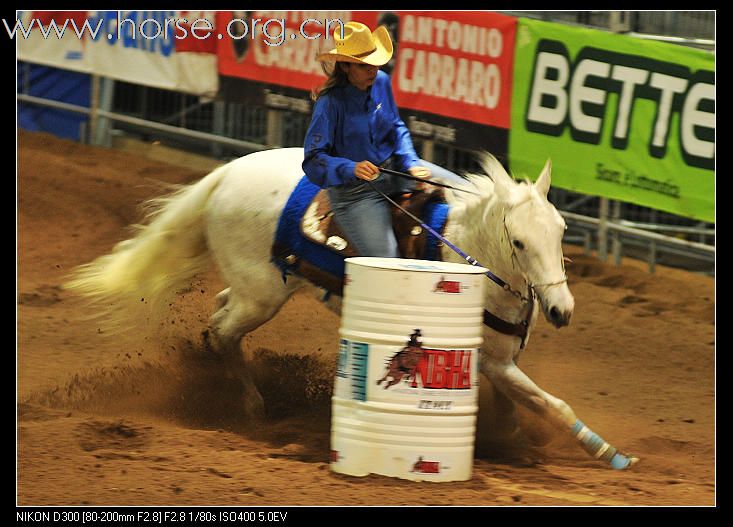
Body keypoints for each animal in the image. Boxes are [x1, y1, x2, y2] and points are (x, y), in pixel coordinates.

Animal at [66, 148, 636, 470]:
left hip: (263, 286)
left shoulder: (498, 360)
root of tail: (224, 176)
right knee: (222, 330)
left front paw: (513, 442)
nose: (561, 309)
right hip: (261, 295)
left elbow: (519, 405)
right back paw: (251, 408)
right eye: (518, 241)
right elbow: (552, 404)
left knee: (219, 315)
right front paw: (609, 453)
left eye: (561, 230)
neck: (472, 253)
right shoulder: (495, 360)